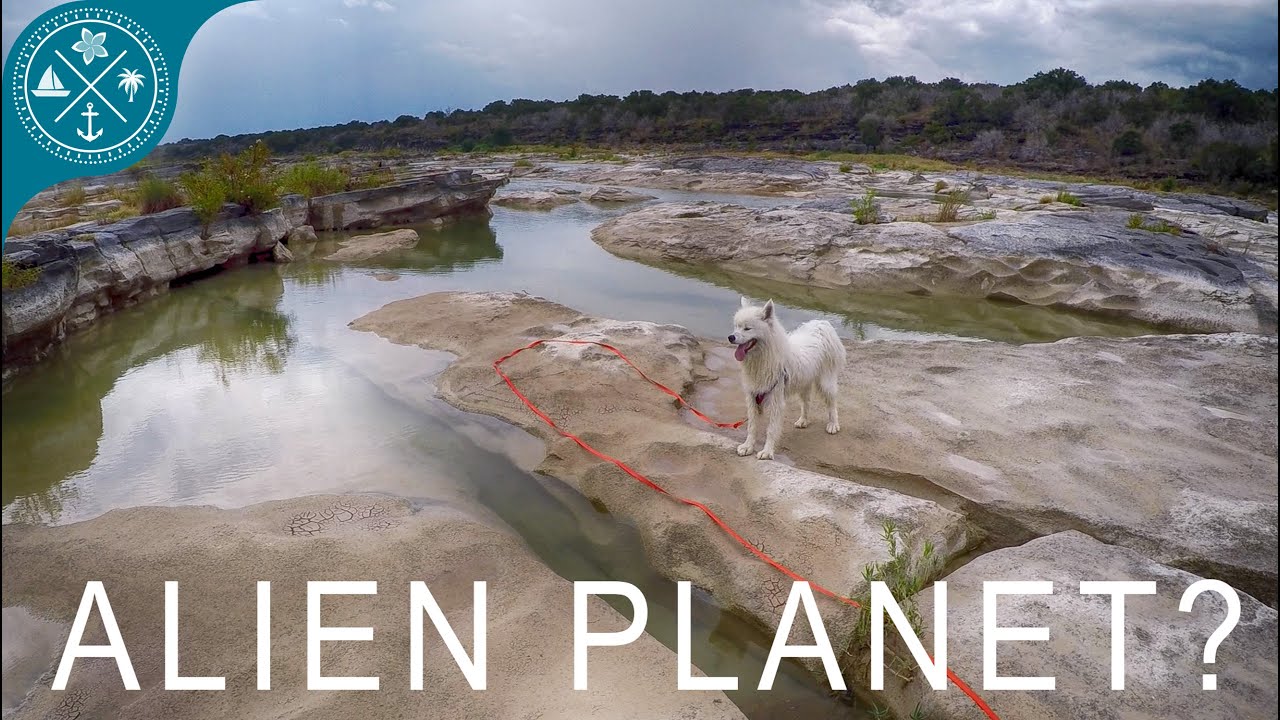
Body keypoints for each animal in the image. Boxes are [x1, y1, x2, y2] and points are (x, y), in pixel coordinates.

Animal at [727, 294, 844, 456]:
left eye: (747, 328)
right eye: (736, 326)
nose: (730, 337)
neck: (763, 358)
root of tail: (821, 325)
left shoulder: (776, 400)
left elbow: (771, 429)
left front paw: (767, 452)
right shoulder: (753, 396)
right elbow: (752, 426)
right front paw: (747, 446)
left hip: (826, 381)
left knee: (832, 403)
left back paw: (833, 424)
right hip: (804, 382)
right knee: (806, 402)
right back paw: (803, 420)